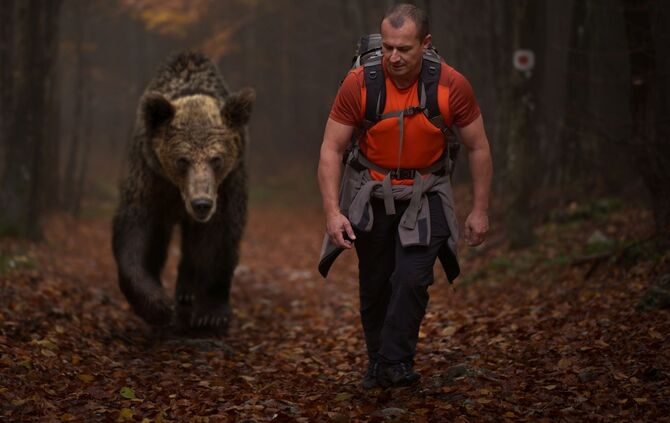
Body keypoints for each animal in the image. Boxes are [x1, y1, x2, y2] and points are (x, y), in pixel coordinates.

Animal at [112, 51, 254, 335]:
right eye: (182, 160)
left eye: (216, 159)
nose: (201, 204)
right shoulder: (151, 178)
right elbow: (137, 232)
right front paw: (157, 305)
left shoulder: (227, 185)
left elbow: (219, 237)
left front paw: (211, 315)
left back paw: (188, 291)